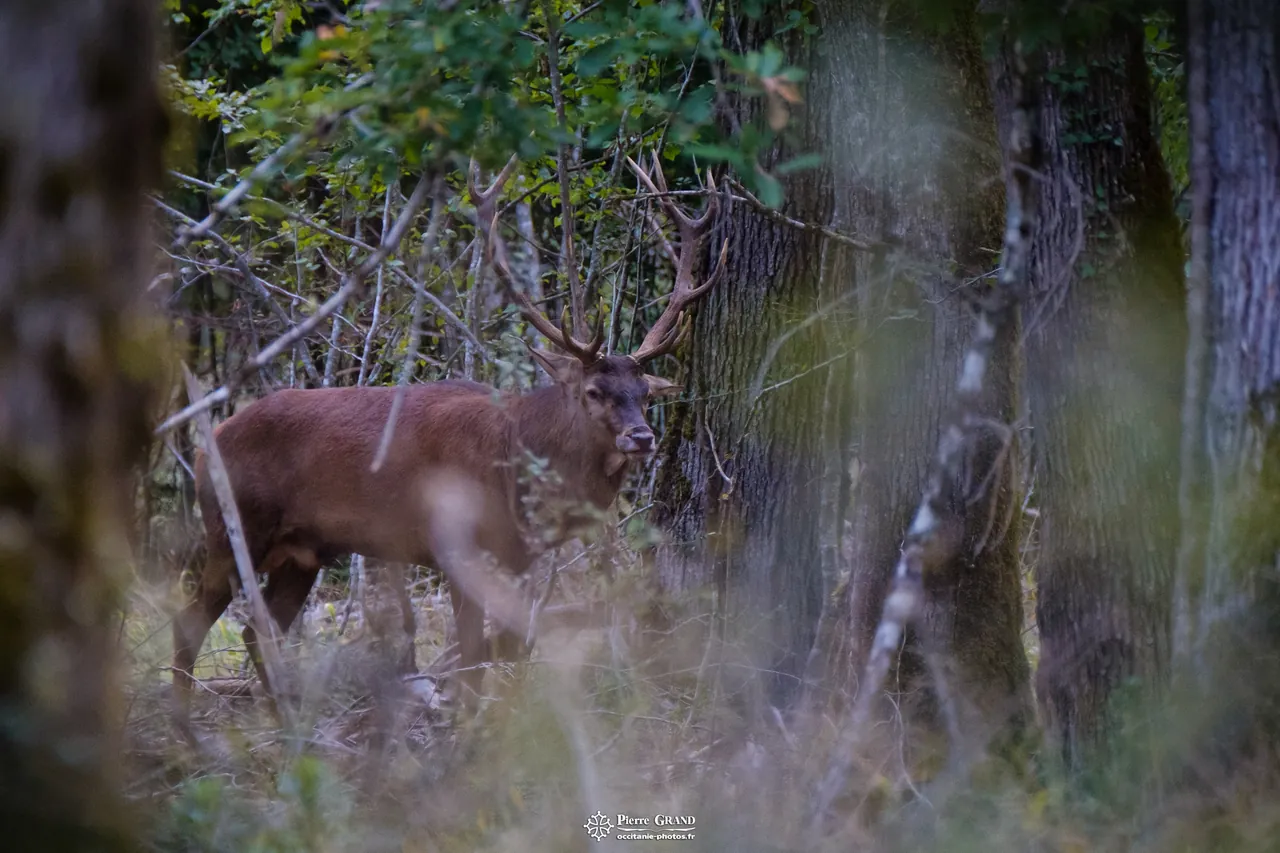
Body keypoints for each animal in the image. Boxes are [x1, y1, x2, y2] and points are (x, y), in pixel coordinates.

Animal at [172, 153, 729, 715]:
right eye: (594, 391)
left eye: (646, 392)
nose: (642, 438)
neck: (518, 468)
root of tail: (203, 446)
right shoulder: (459, 547)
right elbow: (473, 655)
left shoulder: (516, 558)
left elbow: (513, 646)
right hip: (233, 525)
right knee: (191, 620)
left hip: (302, 551)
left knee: (259, 630)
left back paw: (280, 715)